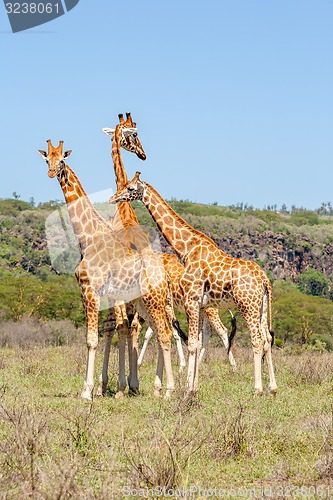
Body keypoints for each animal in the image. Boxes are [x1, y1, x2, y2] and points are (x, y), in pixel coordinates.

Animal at [37, 141, 175, 398]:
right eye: (47, 159)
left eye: (62, 160)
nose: (52, 172)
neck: (88, 237)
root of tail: (166, 277)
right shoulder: (98, 294)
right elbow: (106, 333)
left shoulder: (90, 291)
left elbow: (92, 339)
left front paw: (87, 391)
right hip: (143, 303)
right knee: (158, 332)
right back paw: (160, 389)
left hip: (154, 300)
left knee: (164, 333)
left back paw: (169, 390)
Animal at [109, 172, 278, 394]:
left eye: (130, 188)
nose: (113, 198)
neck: (186, 248)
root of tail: (265, 280)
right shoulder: (199, 304)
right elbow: (195, 342)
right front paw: (193, 386)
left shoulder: (191, 299)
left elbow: (189, 343)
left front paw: (187, 388)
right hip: (261, 308)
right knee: (267, 339)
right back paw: (273, 387)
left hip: (246, 305)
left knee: (256, 340)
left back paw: (258, 388)